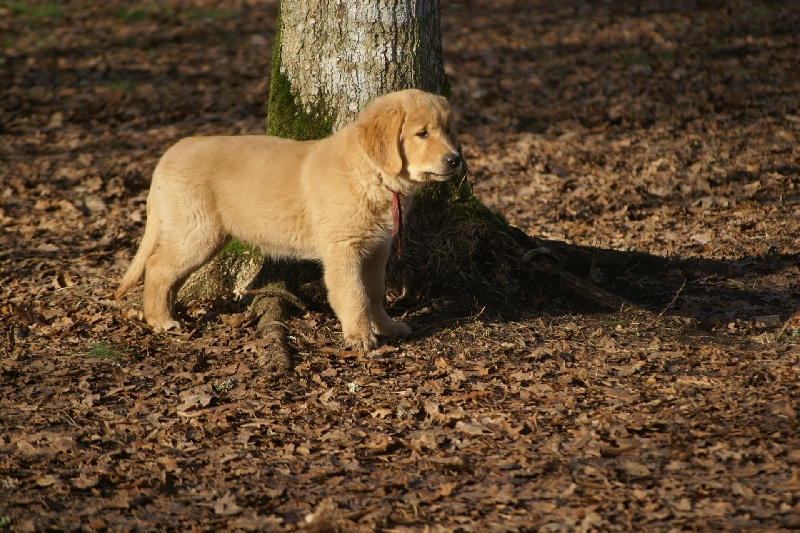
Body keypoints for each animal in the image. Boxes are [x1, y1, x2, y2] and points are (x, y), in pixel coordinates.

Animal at [113, 89, 462, 352]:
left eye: (447, 131)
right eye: (422, 134)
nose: (455, 160)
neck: (370, 173)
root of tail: (171, 152)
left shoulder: (377, 249)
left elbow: (375, 293)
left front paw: (386, 326)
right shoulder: (343, 249)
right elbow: (354, 295)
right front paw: (360, 337)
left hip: (203, 236)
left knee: (170, 273)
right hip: (196, 231)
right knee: (158, 268)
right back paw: (160, 319)